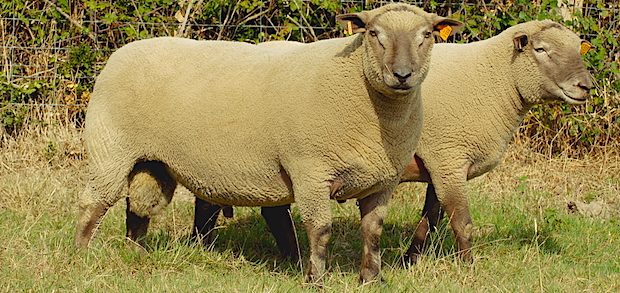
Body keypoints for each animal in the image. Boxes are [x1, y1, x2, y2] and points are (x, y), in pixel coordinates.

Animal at [72, 2, 462, 280]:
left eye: (426, 34)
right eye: (374, 33)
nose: (402, 75)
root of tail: (121, 53)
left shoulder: (382, 180)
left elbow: (373, 232)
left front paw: (371, 279)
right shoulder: (310, 170)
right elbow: (320, 229)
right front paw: (315, 279)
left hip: (153, 161)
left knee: (138, 206)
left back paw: (134, 253)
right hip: (110, 148)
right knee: (94, 203)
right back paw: (81, 254)